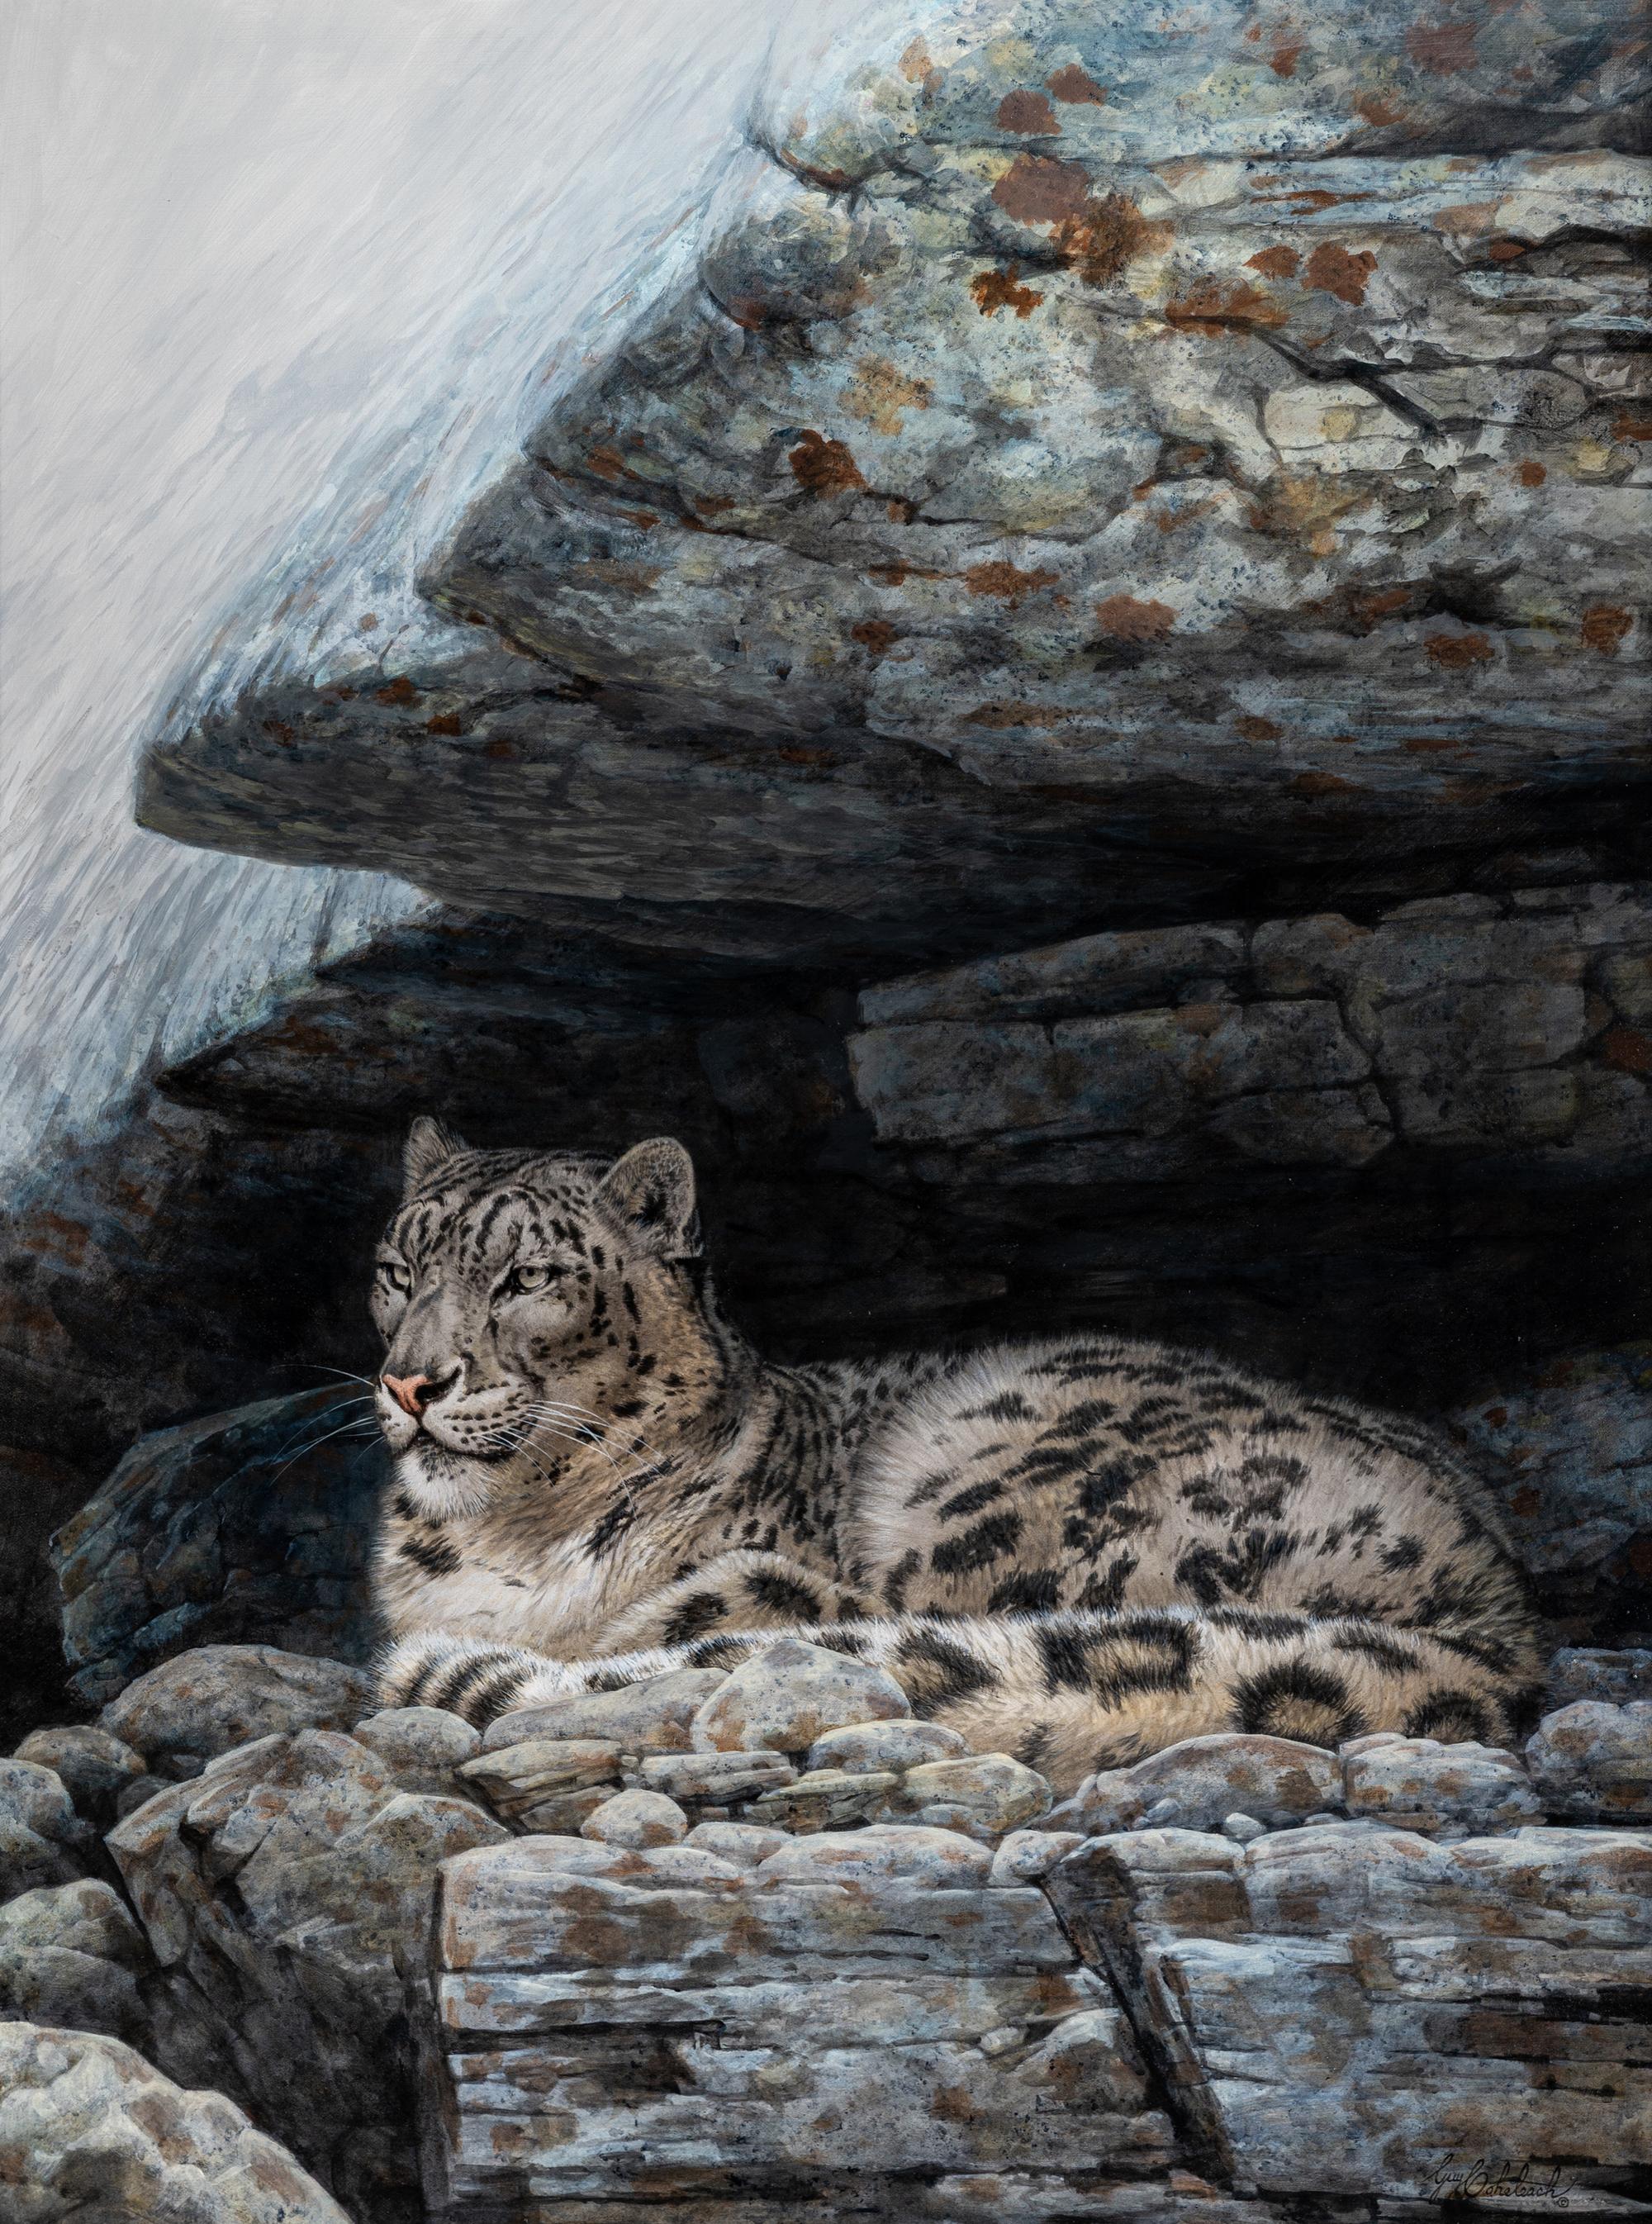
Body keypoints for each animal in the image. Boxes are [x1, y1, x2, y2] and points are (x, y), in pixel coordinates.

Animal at [371, 1117, 1541, 1794]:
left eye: (525, 1277)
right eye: (395, 1267)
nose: (411, 1381)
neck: (506, 1533)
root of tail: (1499, 1607)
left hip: (997, 1497)